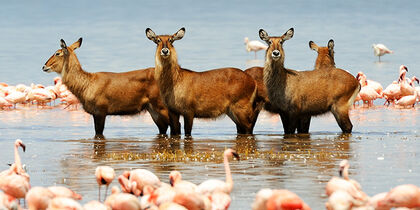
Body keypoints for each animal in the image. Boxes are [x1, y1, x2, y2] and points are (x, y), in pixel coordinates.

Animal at [42, 38, 172, 139]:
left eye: (57, 53)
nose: (44, 66)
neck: (87, 84)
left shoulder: (100, 112)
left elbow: (99, 134)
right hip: (153, 109)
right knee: (163, 129)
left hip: (162, 107)